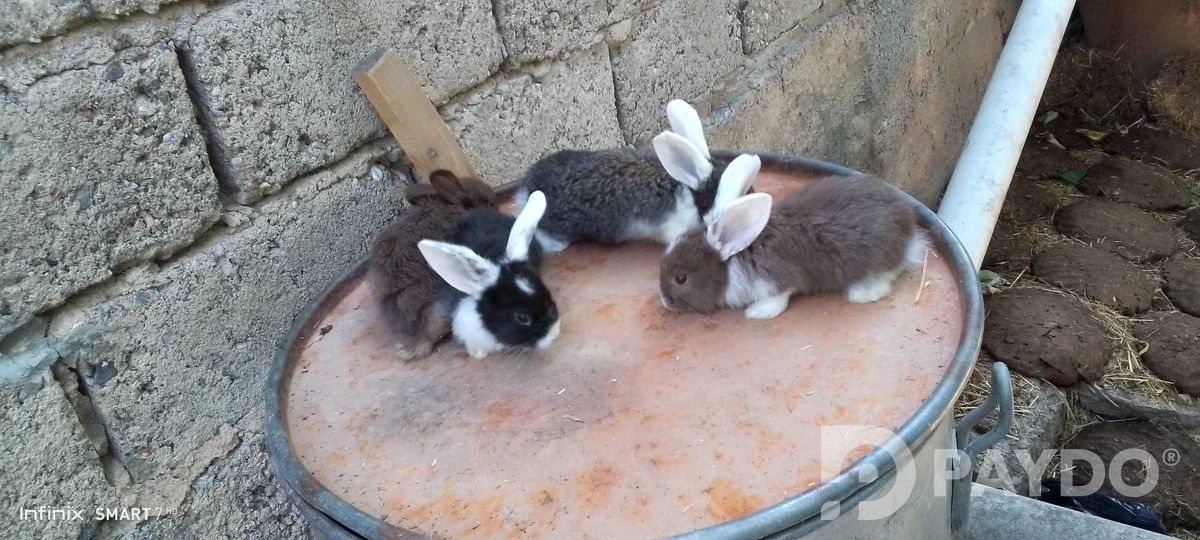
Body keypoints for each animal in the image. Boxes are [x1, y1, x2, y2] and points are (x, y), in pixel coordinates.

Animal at [658, 154, 929, 320]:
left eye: (680, 279)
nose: (664, 301)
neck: (734, 258)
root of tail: (909, 230)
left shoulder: (776, 282)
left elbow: (778, 299)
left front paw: (756, 313)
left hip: (876, 260)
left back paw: (861, 294)